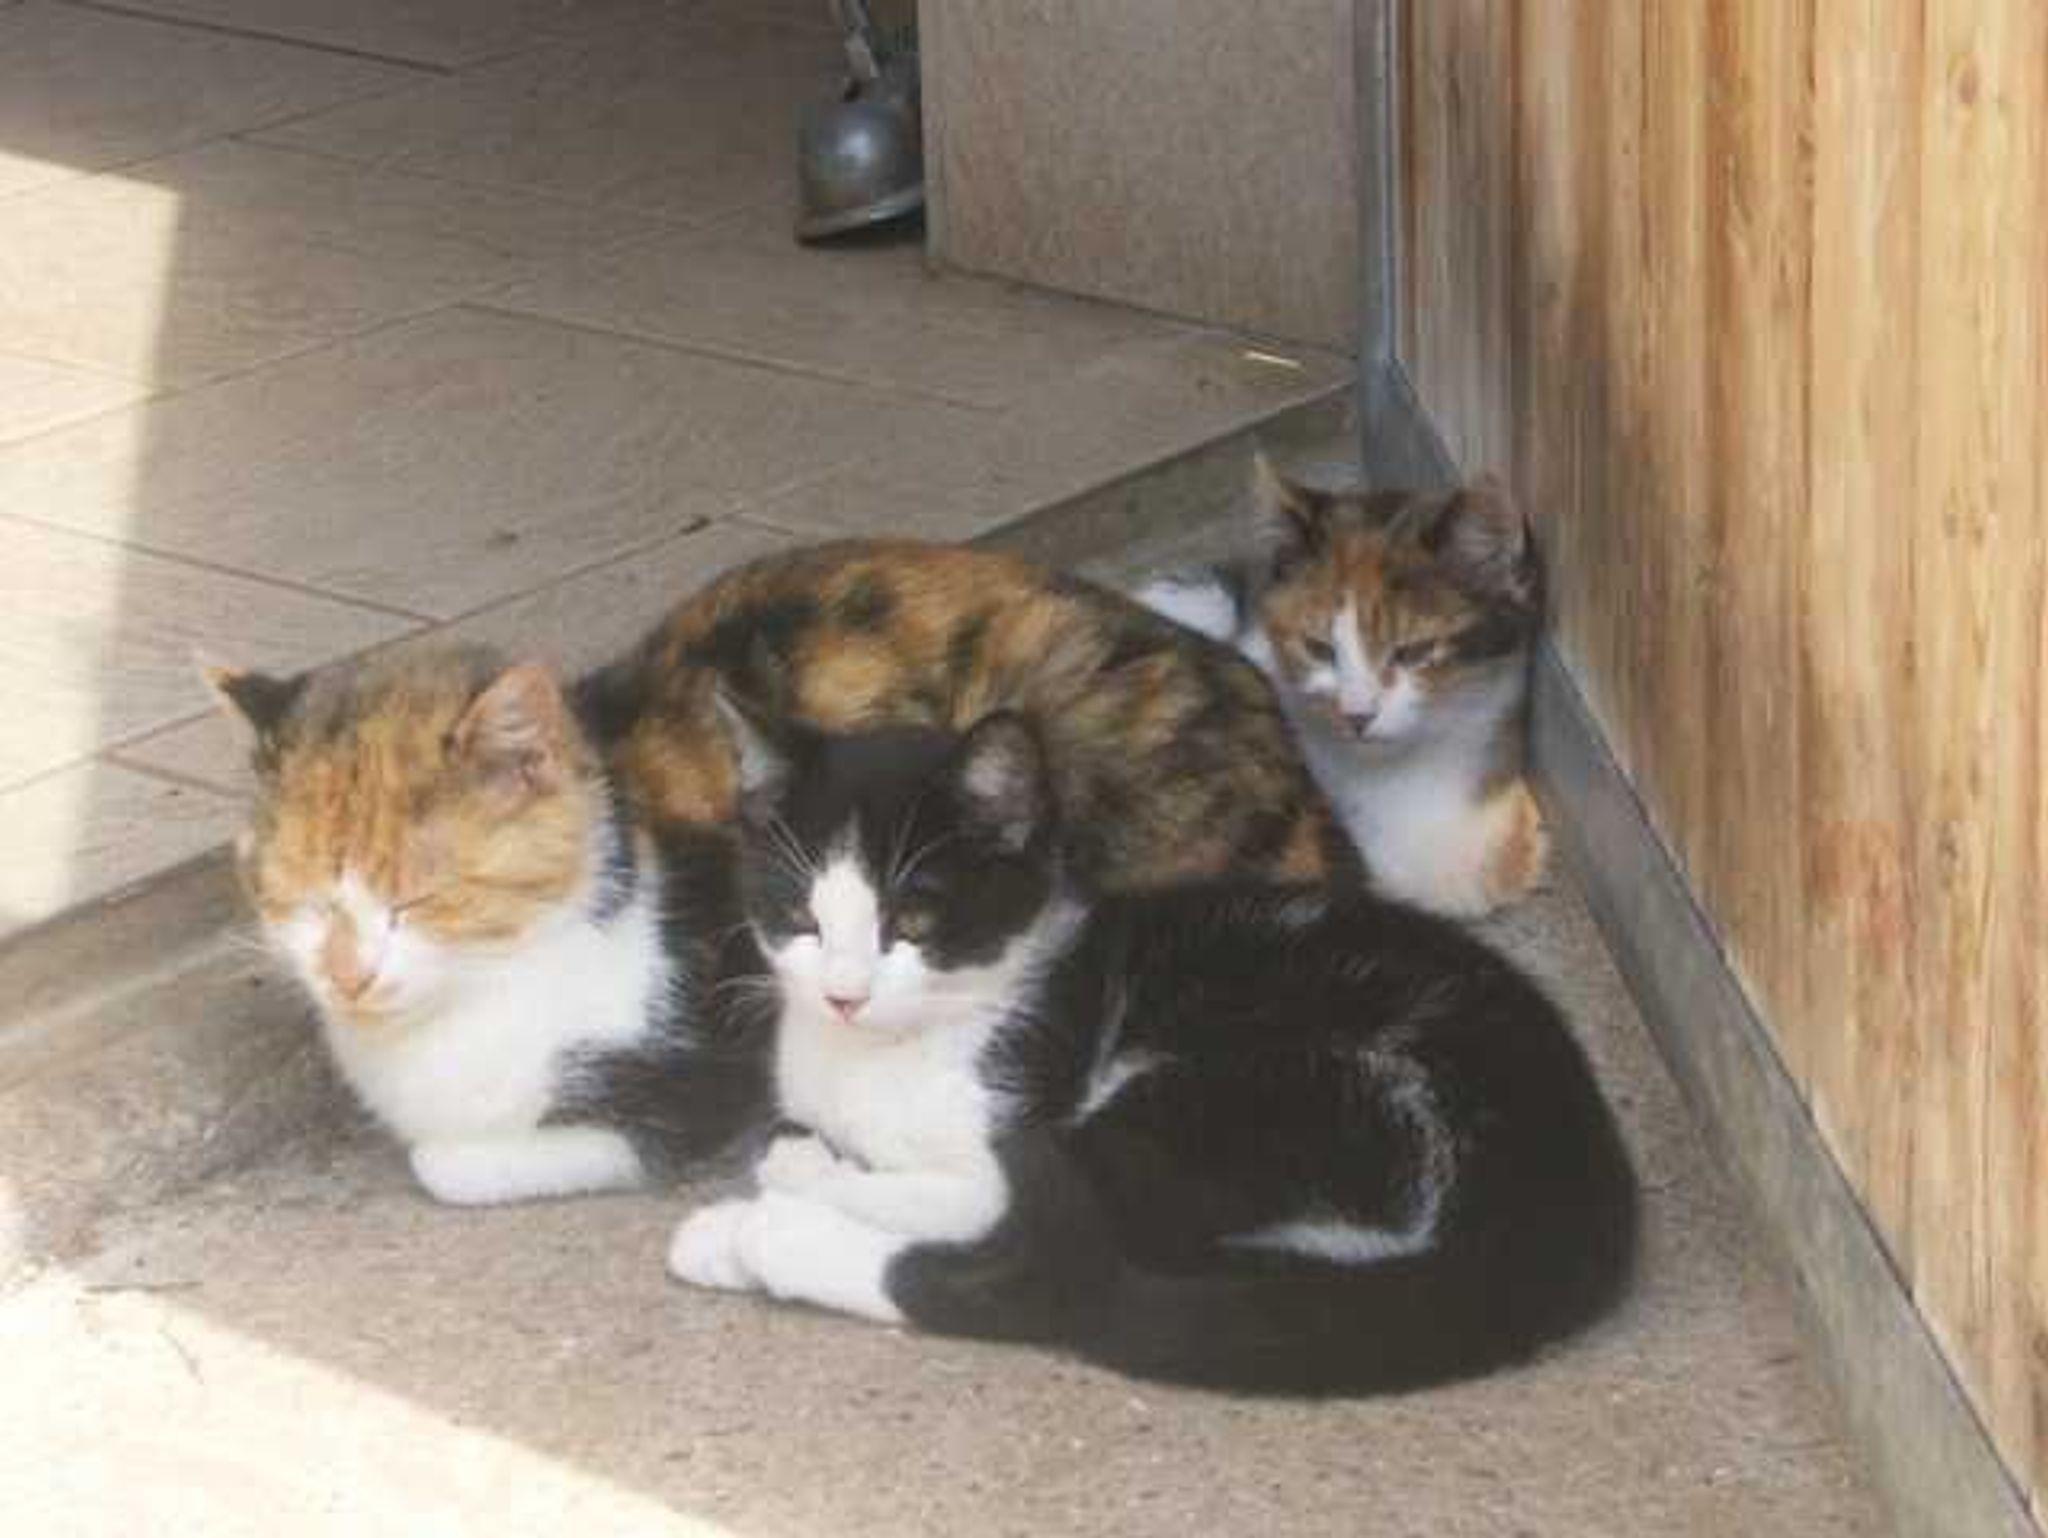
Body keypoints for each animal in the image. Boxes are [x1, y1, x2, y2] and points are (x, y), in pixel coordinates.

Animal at [667, 708, 1638, 1395]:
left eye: (912, 919)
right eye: (800, 915)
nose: (844, 993)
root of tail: (1564, 1206)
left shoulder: (1013, 1120)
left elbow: (952, 1192)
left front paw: (782, 1190)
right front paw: (759, 1201)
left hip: (1254, 1088)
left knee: (1047, 1279)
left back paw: (772, 1235)